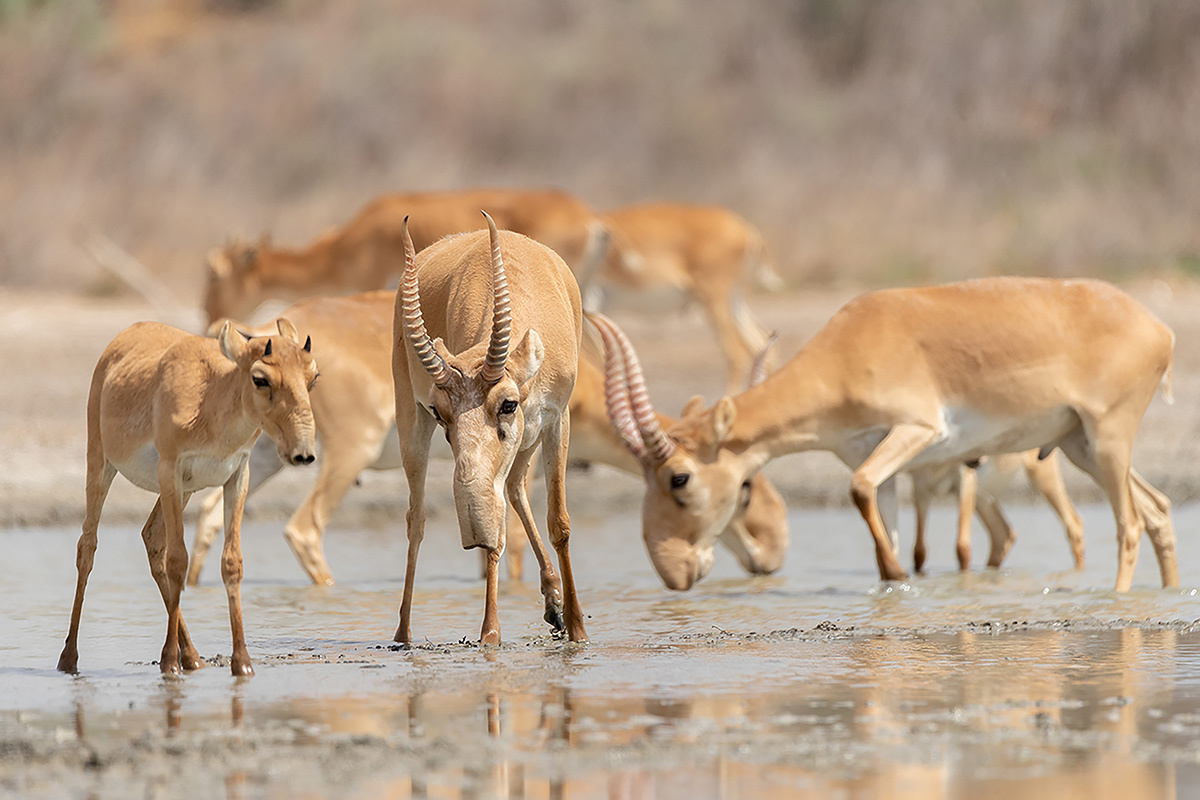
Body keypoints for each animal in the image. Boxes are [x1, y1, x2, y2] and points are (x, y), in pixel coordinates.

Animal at [56, 319, 319, 676]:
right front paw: (168, 661)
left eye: (313, 376)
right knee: (88, 545)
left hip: (186, 491)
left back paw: (192, 656)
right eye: (260, 378)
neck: (212, 400)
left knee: (151, 537)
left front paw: (242, 662)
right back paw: (69, 658)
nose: (303, 454)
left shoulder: (238, 477)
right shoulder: (170, 470)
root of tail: (128, 332)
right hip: (101, 462)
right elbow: (178, 561)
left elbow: (231, 562)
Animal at [396, 211, 588, 642]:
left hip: (527, 441)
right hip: (409, 421)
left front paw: (577, 628)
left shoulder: (557, 419)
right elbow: (496, 534)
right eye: (441, 413)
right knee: (417, 519)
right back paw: (402, 635)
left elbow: (560, 522)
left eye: (507, 403)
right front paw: (490, 634)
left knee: (515, 488)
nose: (471, 523)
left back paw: (554, 605)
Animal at [588, 278, 1171, 592]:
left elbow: (861, 494)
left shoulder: (917, 430)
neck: (851, 343)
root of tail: (1158, 329)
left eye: (679, 478)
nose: (673, 571)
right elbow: (879, 518)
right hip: (1080, 446)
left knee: (1130, 524)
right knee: (1159, 510)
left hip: (1108, 441)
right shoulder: (879, 460)